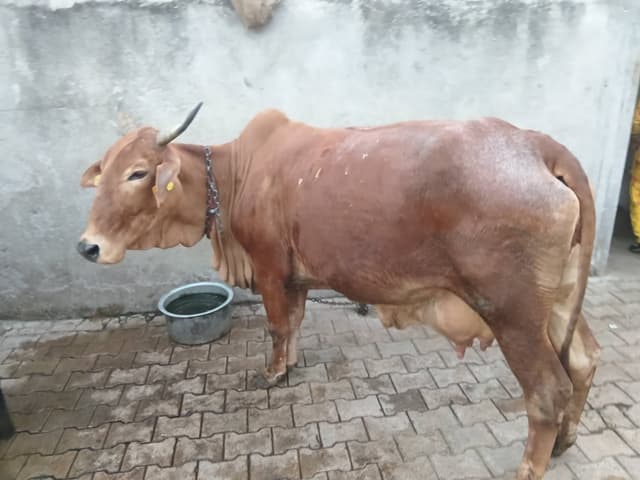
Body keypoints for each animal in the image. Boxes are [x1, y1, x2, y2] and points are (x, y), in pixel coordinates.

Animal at [77, 103, 599, 479]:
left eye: (138, 173)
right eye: (103, 173)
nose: (88, 246)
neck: (235, 175)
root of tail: (535, 144)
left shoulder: (270, 267)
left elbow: (276, 325)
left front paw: (274, 373)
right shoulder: (297, 277)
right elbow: (294, 323)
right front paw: (291, 363)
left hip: (512, 313)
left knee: (547, 391)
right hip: (557, 302)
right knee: (584, 359)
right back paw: (566, 440)